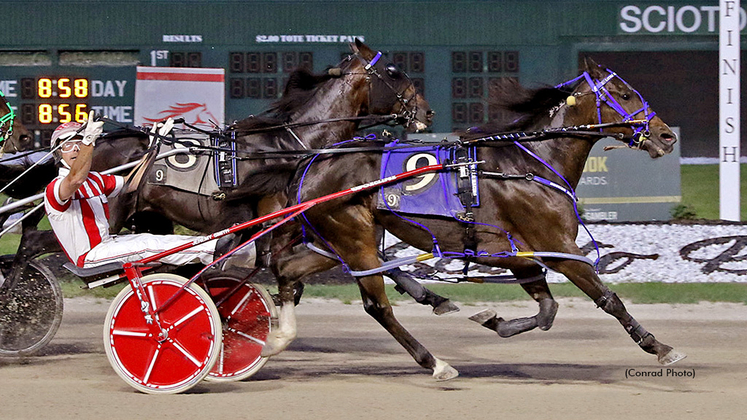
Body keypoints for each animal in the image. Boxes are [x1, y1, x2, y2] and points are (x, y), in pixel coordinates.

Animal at [260, 57, 688, 378]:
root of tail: (311, 162)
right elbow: (607, 299)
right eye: (624, 94)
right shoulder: (557, 246)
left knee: (287, 269)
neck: (530, 164)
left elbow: (547, 311)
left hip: (333, 241)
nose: (667, 136)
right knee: (377, 306)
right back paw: (435, 362)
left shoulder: (517, 254)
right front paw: (659, 346)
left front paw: (493, 320)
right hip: (354, 237)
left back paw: (275, 339)